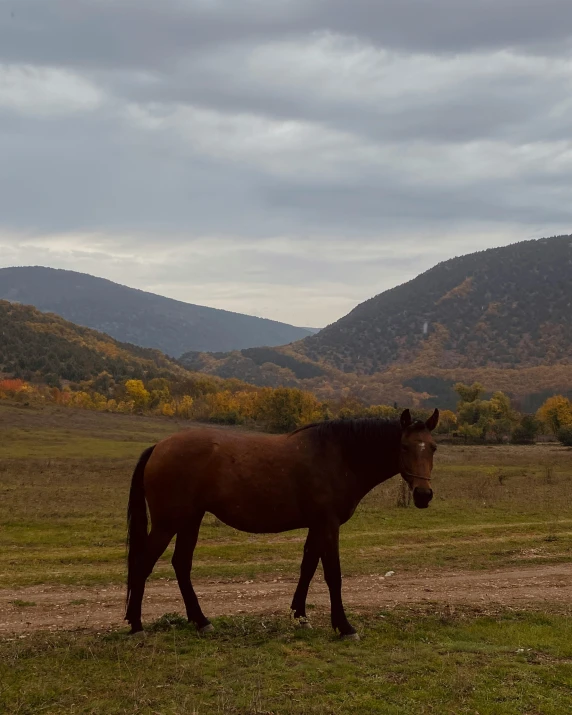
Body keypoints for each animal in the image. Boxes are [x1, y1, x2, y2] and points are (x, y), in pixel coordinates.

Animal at [125, 408, 438, 636]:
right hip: (168, 523)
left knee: (181, 564)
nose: (423, 495)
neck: (340, 455)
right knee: (143, 564)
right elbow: (332, 574)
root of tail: (158, 447)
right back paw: (136, 625)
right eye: (405, 446)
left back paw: (200, 621)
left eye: (433, 448)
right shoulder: (328, 524)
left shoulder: (317, 525)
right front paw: (344, 626)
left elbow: (308, 567)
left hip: (190, 520)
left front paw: (299, 615)